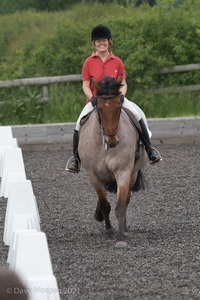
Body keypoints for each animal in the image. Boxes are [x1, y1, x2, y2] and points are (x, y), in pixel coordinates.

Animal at [78, 76, 147, 247]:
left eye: (118, 108)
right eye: (100, 109)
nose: (113, 140)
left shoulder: (123, 172)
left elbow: (121, 205)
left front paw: (121, 237)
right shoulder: (93, 175)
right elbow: (104, 205)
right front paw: (109, 230)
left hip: (133, 173)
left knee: (127, 198)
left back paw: (125, 228)